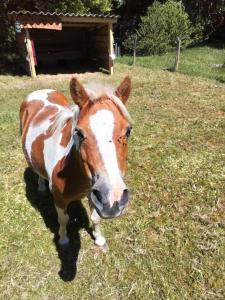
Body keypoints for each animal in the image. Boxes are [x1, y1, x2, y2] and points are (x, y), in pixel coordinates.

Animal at [19, 76, 132, 250]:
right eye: (79, 132)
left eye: (128, 131)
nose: (113, 200)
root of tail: (39, 91)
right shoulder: (60, 200)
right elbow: (63, 220)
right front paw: (63, 240)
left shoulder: (94, 195)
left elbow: (95, 218)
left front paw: (99, 239)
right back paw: (41, 186)